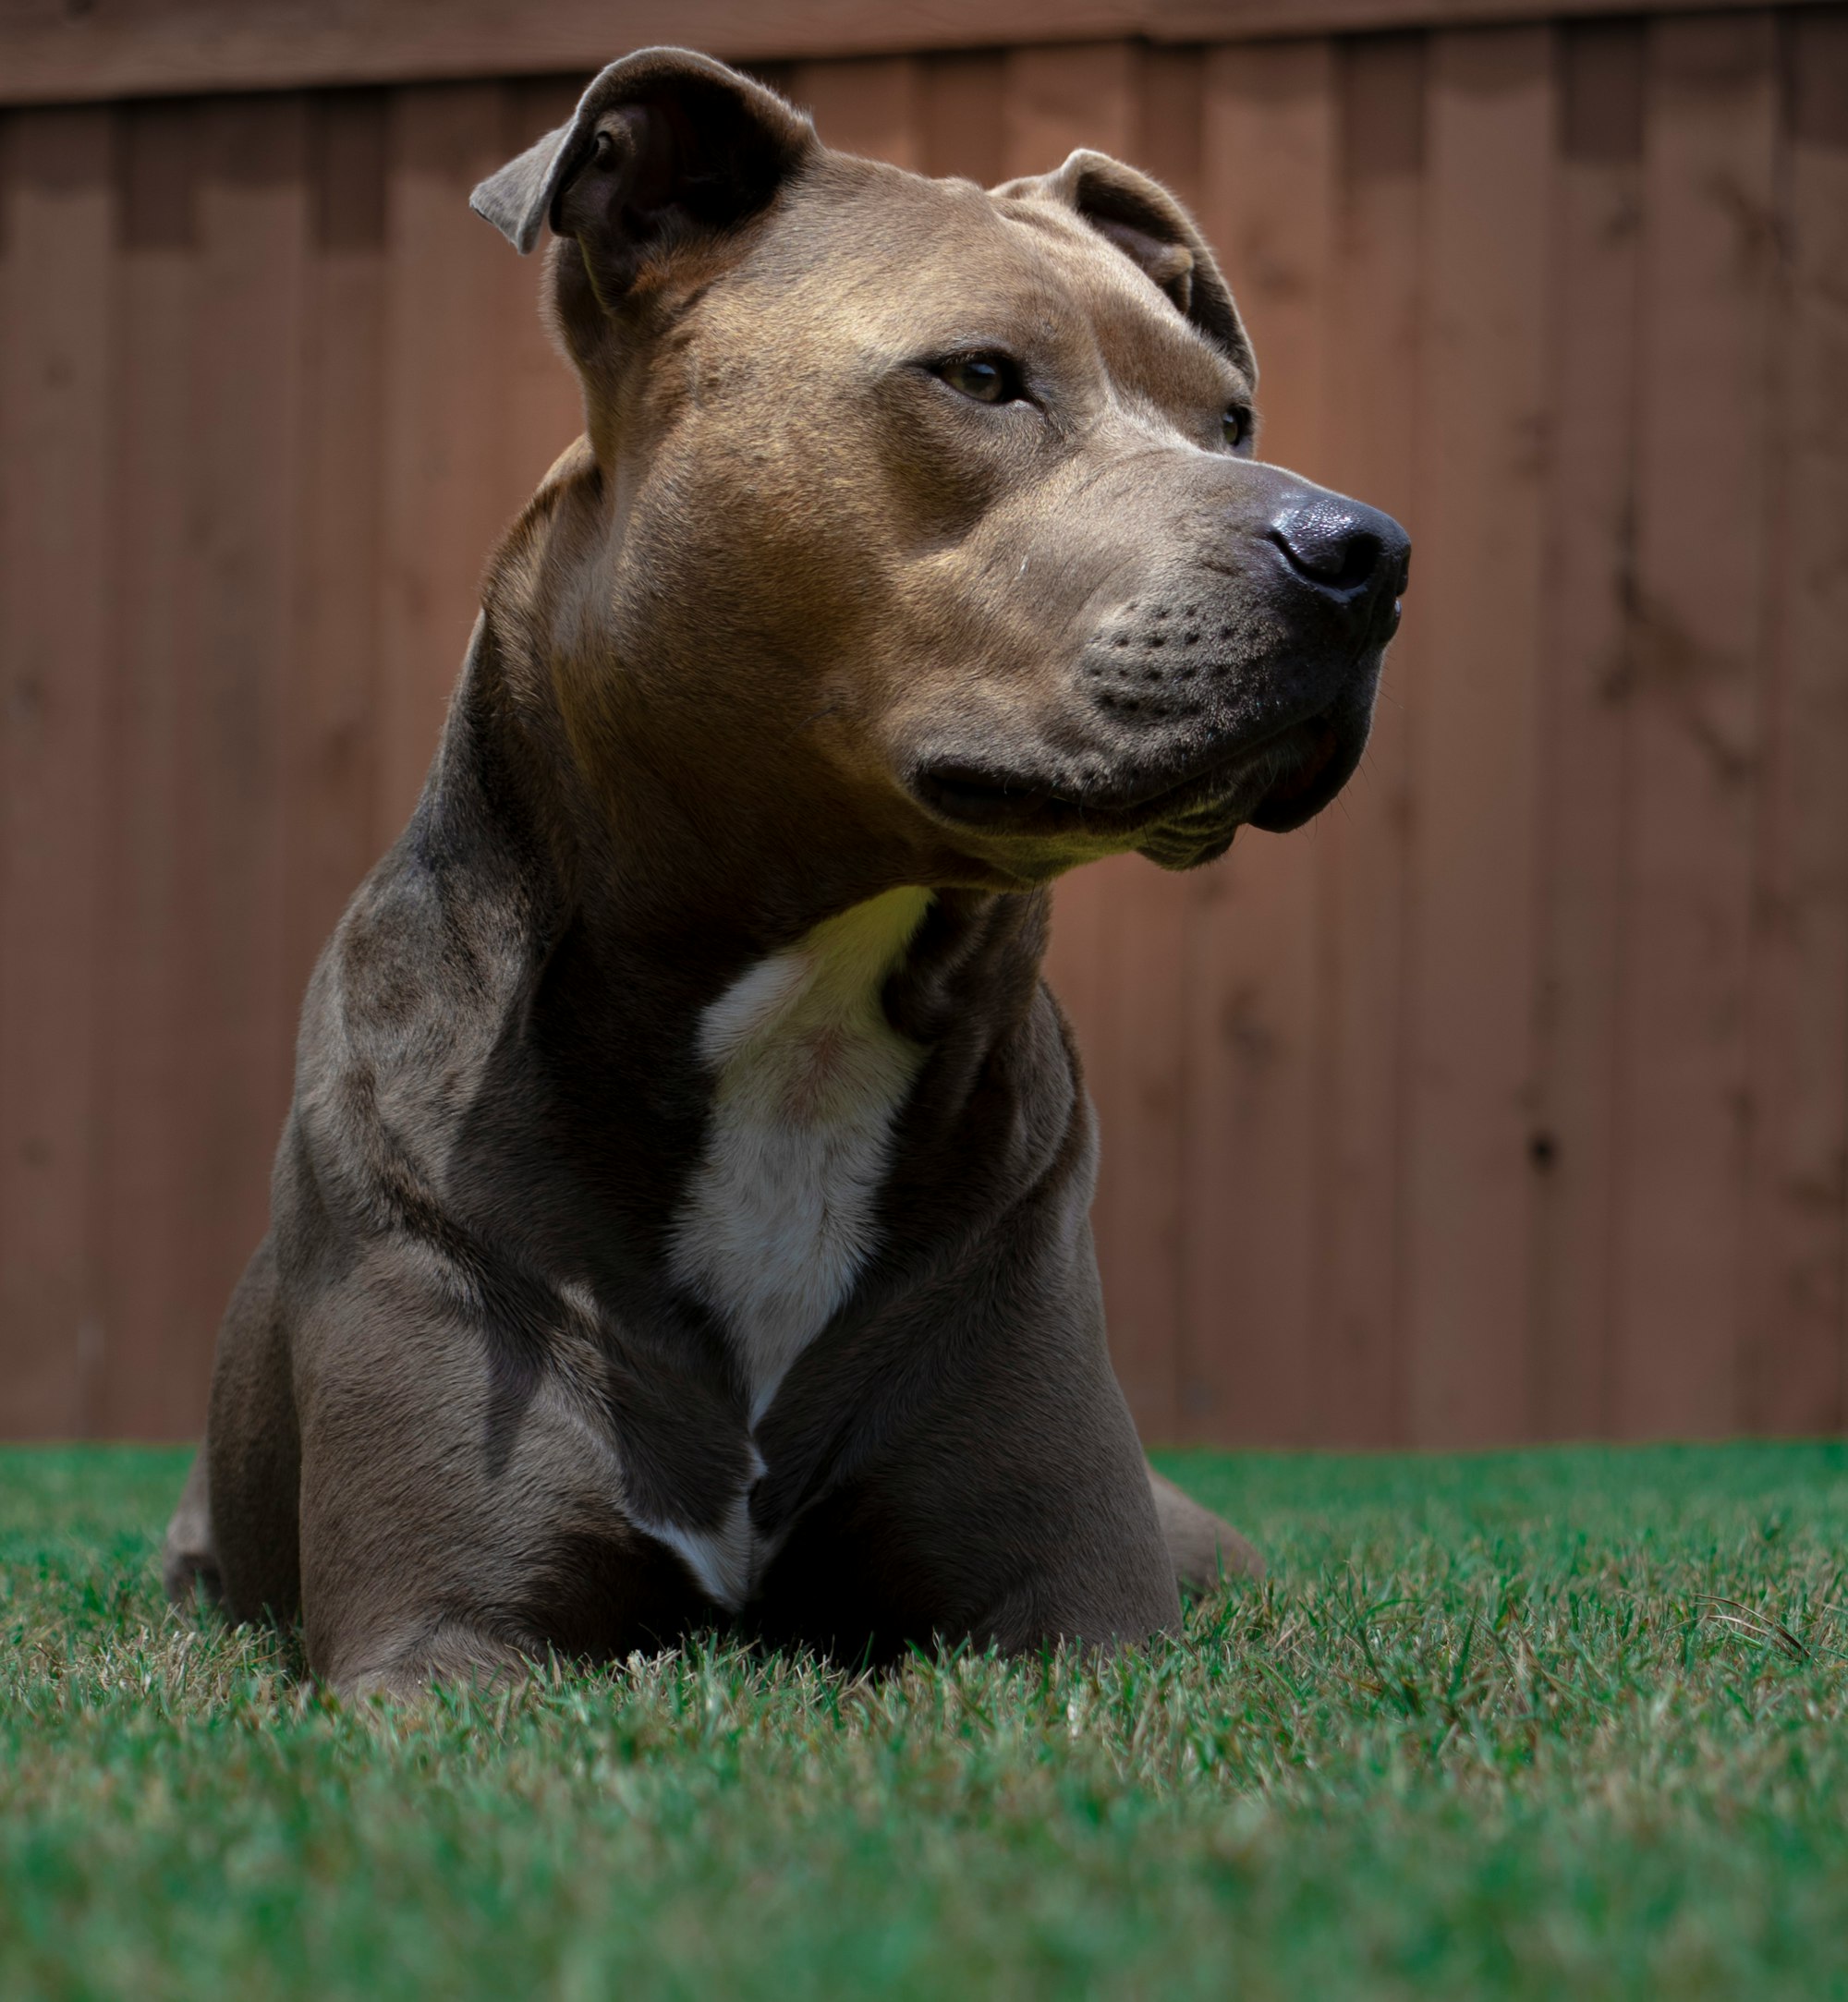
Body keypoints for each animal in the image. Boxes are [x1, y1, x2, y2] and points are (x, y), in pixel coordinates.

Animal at [165, 46, 1409, 1697]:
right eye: (983, 377)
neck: (808, 1018)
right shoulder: (440, 1634)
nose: (1369, 553)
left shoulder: (1087, 1614)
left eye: (1233, 415)